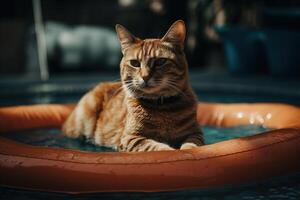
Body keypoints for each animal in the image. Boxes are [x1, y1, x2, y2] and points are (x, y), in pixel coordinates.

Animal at [62, 20, 204, 152]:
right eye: (135, 63)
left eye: (160, 61)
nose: (145, 77)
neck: (162, 109)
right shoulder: (130, 138)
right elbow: (155, 147)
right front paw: (169, 150)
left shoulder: (195, 134)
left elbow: (193, 146)